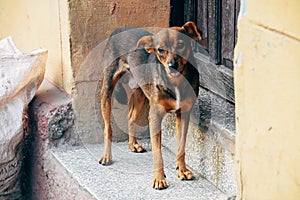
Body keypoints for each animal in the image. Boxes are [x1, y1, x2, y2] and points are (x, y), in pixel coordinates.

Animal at [99, 21, 202, 189]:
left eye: (181, 44)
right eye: (160, 49)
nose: (172, 65)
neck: (175, 82)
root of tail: (118, 29)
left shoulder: (184, 114)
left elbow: (181, 147)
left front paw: (182, 170)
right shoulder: (155, 117)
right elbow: (157, 153)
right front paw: (159, 179)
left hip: (140, 92)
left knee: (130, 118)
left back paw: (133, 144)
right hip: (107, 88)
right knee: (108, 128)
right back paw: (107, 156)